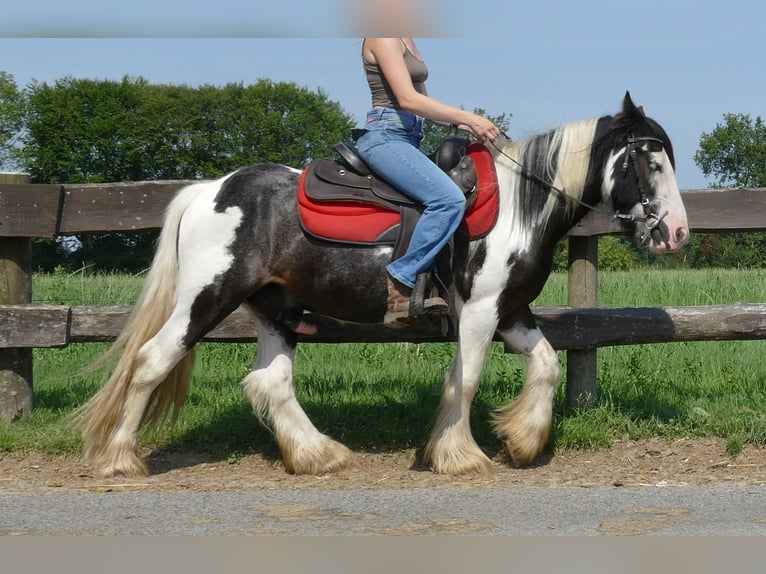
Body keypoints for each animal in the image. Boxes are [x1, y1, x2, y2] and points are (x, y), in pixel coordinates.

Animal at [75, 92, 692, 480]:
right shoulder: (480, 311)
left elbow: (545, 365)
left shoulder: (510, 311)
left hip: (276, 308)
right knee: (152, 361)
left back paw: (318, 455)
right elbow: (466, 381)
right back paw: (120, 459)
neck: (522, 205)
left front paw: (522, 439)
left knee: (270, 382)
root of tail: (208, 191)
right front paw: (460, 456)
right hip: (208, 297)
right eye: (651, 161)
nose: (678, 232)